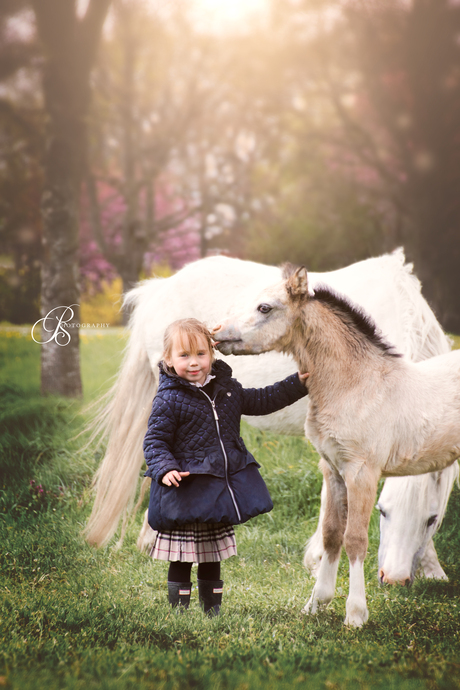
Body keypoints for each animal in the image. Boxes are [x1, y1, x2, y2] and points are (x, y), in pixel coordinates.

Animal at [84, 247, 452, 580]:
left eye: (431, 520)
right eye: (383, 513)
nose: (394, 578)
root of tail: (161, 287)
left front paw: (433, 570)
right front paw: (319, 560)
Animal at [215, 264, 460, 624]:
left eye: (265, 308)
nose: (216, 331)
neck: (355, 383)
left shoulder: (362, 473)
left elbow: (355, 539)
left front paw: (355, 614)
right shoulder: (333, 470)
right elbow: (331, 534)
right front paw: (316, 603)